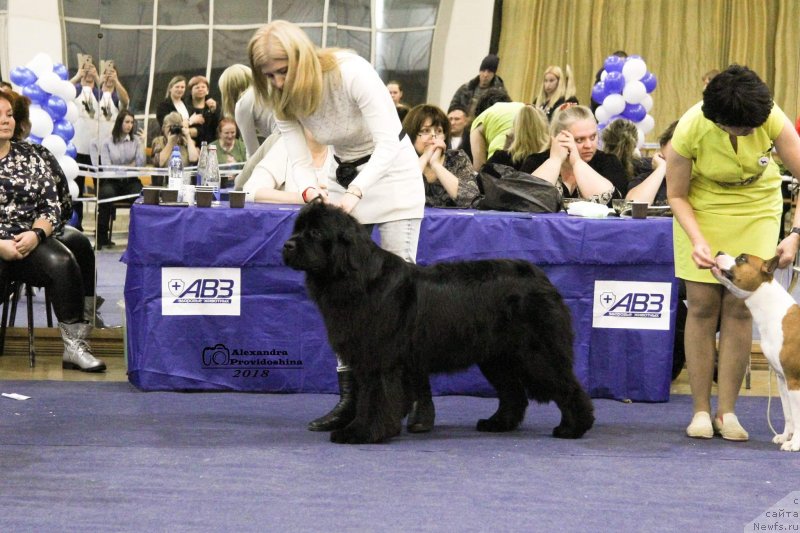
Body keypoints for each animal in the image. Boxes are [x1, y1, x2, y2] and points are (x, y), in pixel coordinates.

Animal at [282, 202, 592, 442]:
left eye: (316, 232)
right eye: (296, 230)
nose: (287, 245)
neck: (356, 278)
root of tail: (540, 276)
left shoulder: (379, 359)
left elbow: (374, 397)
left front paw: (362, 433)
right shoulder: (364, 356)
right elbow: (367, 397)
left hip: (536, 353)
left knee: (567, 386)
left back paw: (573, 428)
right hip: (497, 356)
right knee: (513, 393)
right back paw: (497, 423)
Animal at [712, 251, 800, 450]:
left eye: (742, 259)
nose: (719, 252)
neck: (775, 313)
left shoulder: (794, 381)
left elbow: (798, 416)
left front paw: (795, 443)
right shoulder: (782, 379)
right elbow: (788, 414)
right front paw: (785, 437)